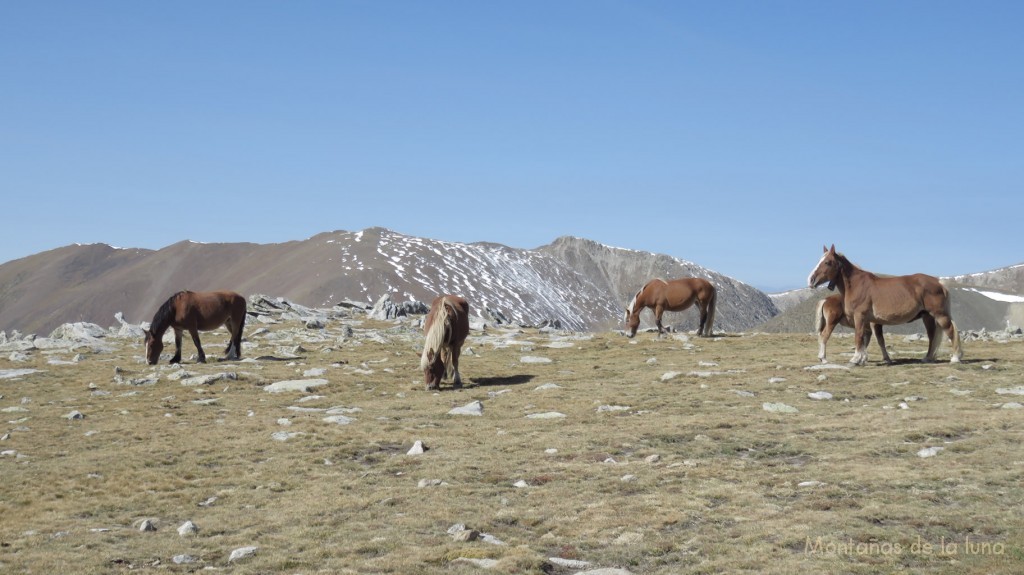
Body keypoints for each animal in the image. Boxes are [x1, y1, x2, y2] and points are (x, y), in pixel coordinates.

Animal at [806, 245, 958, 362]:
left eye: (827, 262)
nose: (811, 280)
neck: (857, 284)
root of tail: (939, 283)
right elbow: (869, 340)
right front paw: (863, 358)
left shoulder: (860, 317)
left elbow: (859, 337)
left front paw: (856, 359)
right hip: (927, 316)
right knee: (933, 336)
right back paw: (927, 358)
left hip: (939, 315)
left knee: (950, 330)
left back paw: (955, 358)